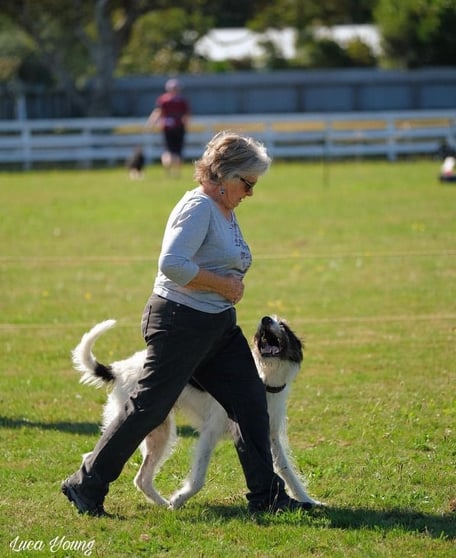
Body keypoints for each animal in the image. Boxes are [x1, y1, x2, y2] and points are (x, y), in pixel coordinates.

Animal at [73, 318, 318, 510]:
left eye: (283, 325)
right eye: (265, 327)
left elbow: (287, 470)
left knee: (137, 477)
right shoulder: (209, 434)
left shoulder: (270, 437)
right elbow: (198, 477)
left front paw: (307, 500)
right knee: (98, 457)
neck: (265, 380)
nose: (266, 319)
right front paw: (181, 498)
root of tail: (119, 369)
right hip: (152, 426)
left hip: (158, 435)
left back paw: (161, 504)